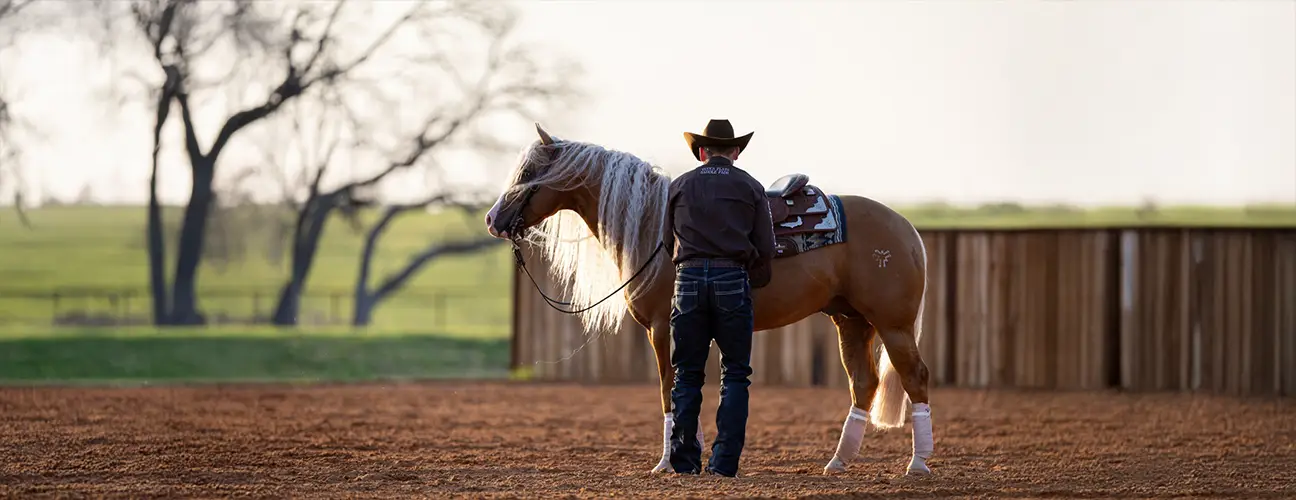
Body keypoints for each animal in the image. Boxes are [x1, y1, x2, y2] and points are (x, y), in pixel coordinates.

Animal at [484, 124, 934, 477]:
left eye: (528, 173)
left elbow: (670, 387)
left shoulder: (664, 328)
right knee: (864, 384)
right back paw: (838, 462)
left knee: (915, 378)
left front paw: (668, 462)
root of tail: (905, 227)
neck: (655, 230)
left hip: (892, 326)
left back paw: (917, 465)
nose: (491, 220)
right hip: (851, 321)